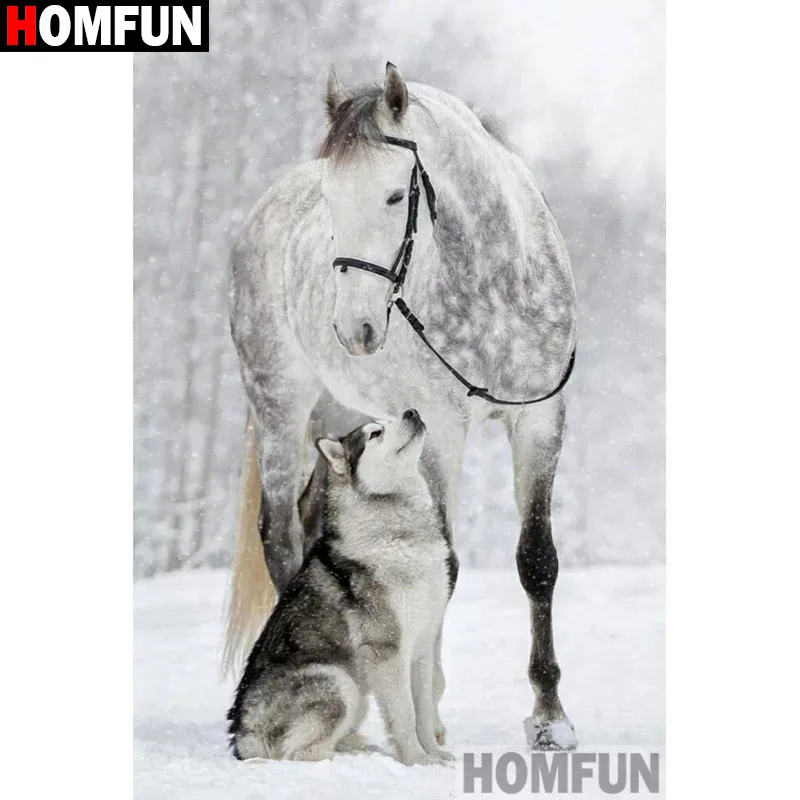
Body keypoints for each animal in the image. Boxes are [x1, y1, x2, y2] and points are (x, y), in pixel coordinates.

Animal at [227, 409, 458, 765]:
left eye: (392, 417)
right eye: (375, 433)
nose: (412, 411)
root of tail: (242, 736)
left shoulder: (422, 645)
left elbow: (422, 708)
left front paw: (433, 754)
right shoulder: (387, 649)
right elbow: (405, 713)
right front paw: (416, 761)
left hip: (356, 691)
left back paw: (361, 747)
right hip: (339, 680)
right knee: (299, 752)